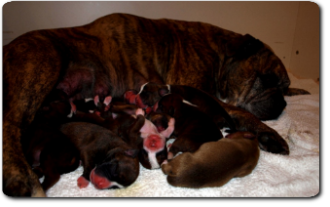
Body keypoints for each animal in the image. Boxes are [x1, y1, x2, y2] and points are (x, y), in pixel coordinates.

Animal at [1, 12, 310, 196]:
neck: (221, 53)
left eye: (283, 85)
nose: (281, 104)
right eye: (266, 78)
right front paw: (270, 134)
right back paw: (23, 179)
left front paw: (298, 92)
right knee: (9, 125)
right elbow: (243, 112)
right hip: (41, 64)